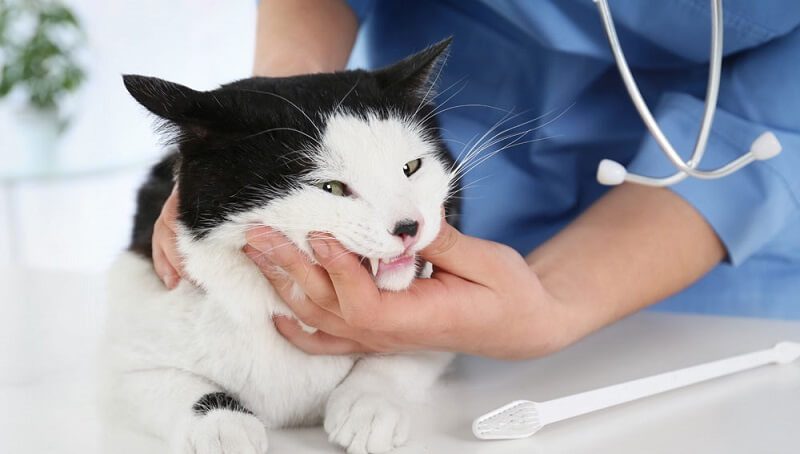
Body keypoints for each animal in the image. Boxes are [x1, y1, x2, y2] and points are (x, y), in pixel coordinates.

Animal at [103, 40, 460, 454]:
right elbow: (164, 381)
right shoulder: (131, 345)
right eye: (331, 188)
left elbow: (411, 350)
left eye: (411, 167)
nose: (410, 227)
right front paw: (222, 426)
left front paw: (369, 405)